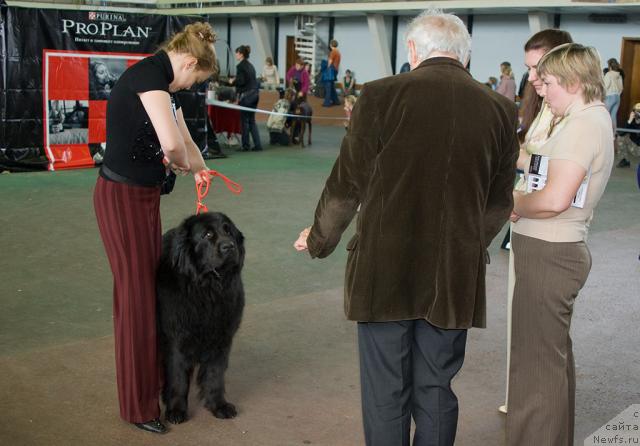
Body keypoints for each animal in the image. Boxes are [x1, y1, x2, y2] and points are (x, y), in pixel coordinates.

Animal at [156, 211, 245, 424]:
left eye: (228, 231)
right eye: (208, 235)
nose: (229, 246)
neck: (207, 288)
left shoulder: (221, 338)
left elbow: (215, 374)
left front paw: (219, 405)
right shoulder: (176, 338)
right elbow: (178, 377)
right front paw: (176, 410)